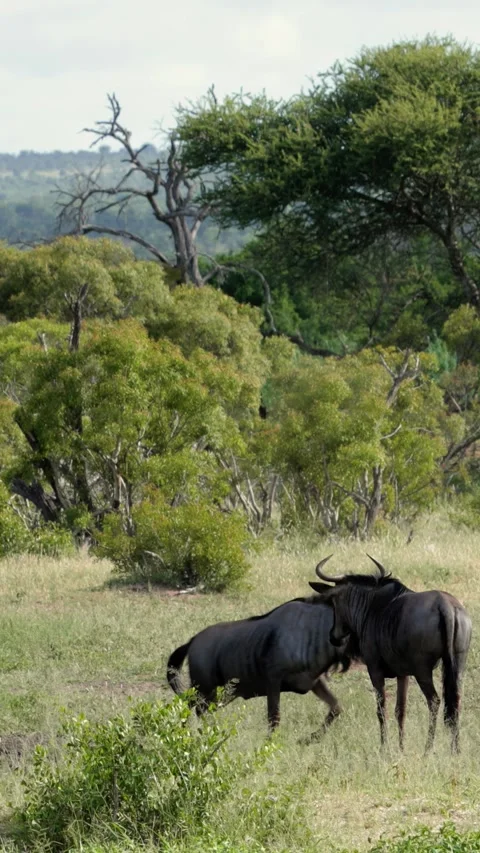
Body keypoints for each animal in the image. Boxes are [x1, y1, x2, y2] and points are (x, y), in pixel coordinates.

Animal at [167, 559, 352, 738]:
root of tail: (192, 641)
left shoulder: (314, 682)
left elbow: (336, 707)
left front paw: (309, 739)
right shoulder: (273, 681)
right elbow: (274, 719)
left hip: (219, 695)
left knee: (198, 710)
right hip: (204, 689)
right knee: (190, 706)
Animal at [309, 555, 472, 753]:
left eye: (333, 602)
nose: (333, 637)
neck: (371, 608)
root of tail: (446, 606)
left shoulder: (375, 670)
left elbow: (381, 709)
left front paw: (384, 748)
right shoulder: (403, 675)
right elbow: (400, 710)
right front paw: (401, 748)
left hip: (423, 671)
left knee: (434, 701)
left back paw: (428, 749)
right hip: (457, 665)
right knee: (456, 702)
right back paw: (455, 749)